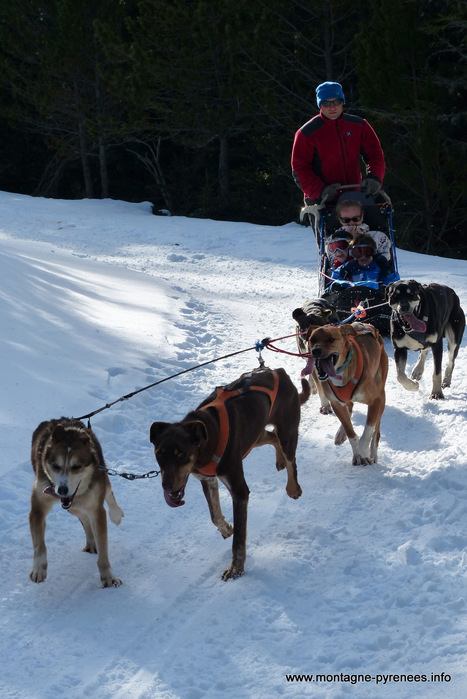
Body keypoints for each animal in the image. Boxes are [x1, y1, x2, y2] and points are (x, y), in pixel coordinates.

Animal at [28, 418, 124, 588]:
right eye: (56, 465)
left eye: (77, 467)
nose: (62, 490)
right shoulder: (37, 509)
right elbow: (39, 545)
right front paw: (38, 569)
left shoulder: (97, 510)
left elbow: (103, 549)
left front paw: (108, 577)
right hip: (72, 507)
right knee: (84, 519)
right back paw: (91, 542)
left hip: (100, 482)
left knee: (108, 493)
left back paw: (116, 514)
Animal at [150, 370, 310, 584]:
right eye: (159, 454)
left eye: (180, 454)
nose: (166, 485)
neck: (208, 437)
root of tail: (278, 371)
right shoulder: (207, 479)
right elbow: (215, 516)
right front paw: (226, 528)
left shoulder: (239, 491)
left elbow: (239, 539)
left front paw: (236, 568)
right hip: (255, 435)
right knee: (272, 438)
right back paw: (279, 460)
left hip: (287, 431)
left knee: (291, 457)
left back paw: (293, 486)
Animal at [302, 322, 390, 464]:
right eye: (313, 339)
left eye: (331, 339)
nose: (316, 351)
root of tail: (368, 325)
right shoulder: (336, 403)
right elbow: (350, 432)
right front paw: (357, 454)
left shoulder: (375, 401)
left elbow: (368, 430)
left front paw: (363, 451)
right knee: (349, 408)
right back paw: (340, 434)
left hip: (382, 395)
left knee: (376, 431)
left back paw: (373, 453)